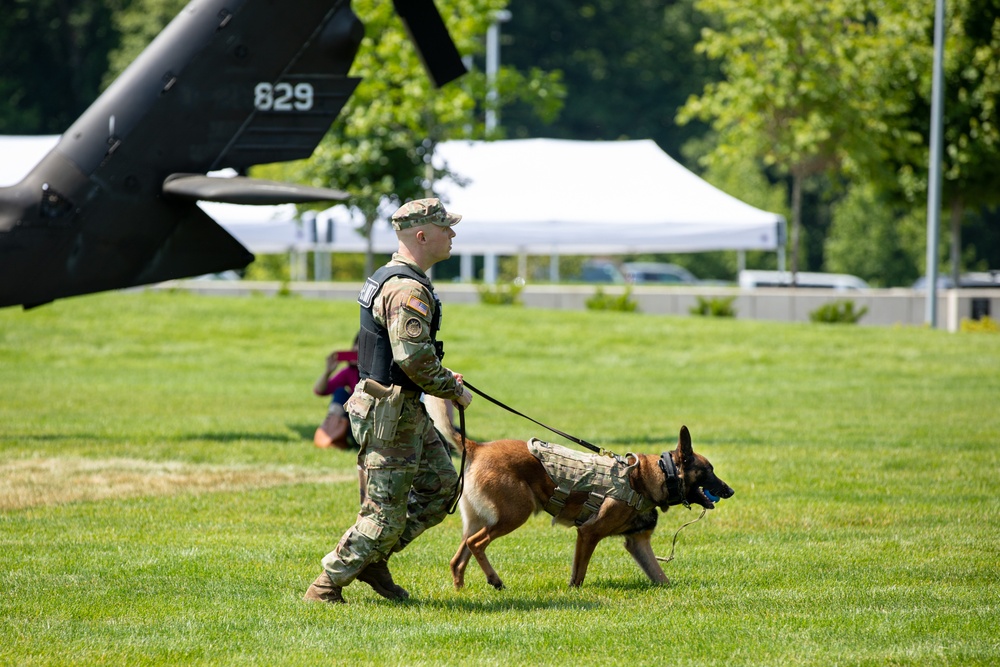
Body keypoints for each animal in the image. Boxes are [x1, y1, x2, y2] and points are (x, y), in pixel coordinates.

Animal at [428, 396, 736, 588]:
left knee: (458, 558)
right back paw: (494, 580)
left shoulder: (638, 542)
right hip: (515, 514)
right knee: (476, 544)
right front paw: (573, 591)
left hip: (478, 520)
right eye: (709, 470)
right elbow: (579, 574)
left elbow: (661, 578)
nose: (730, 490)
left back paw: (461, 589)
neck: (648, 477)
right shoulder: (588, 533)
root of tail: (478, 446)